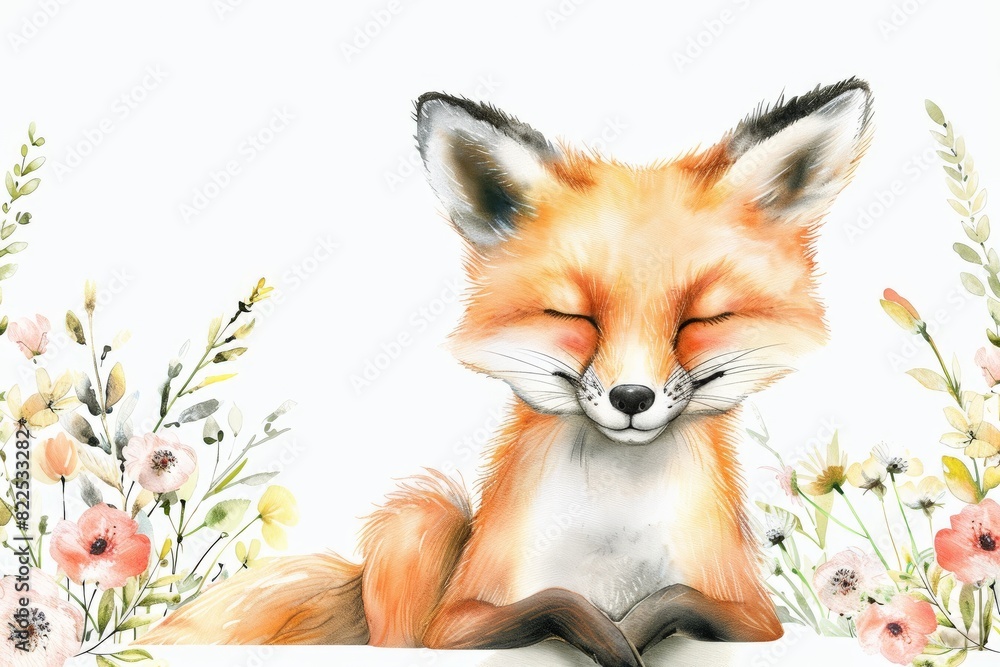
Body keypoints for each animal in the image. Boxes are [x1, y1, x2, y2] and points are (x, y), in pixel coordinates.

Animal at [142, 78, 873, 665]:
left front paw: (638, 627)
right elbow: (552, 602)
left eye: (702, 319)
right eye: (573, 315)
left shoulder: (754, 614)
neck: (613, 531)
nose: (631, 396)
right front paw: (608, 635)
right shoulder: (456, 623)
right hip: (423, 515)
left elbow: (681, 599)